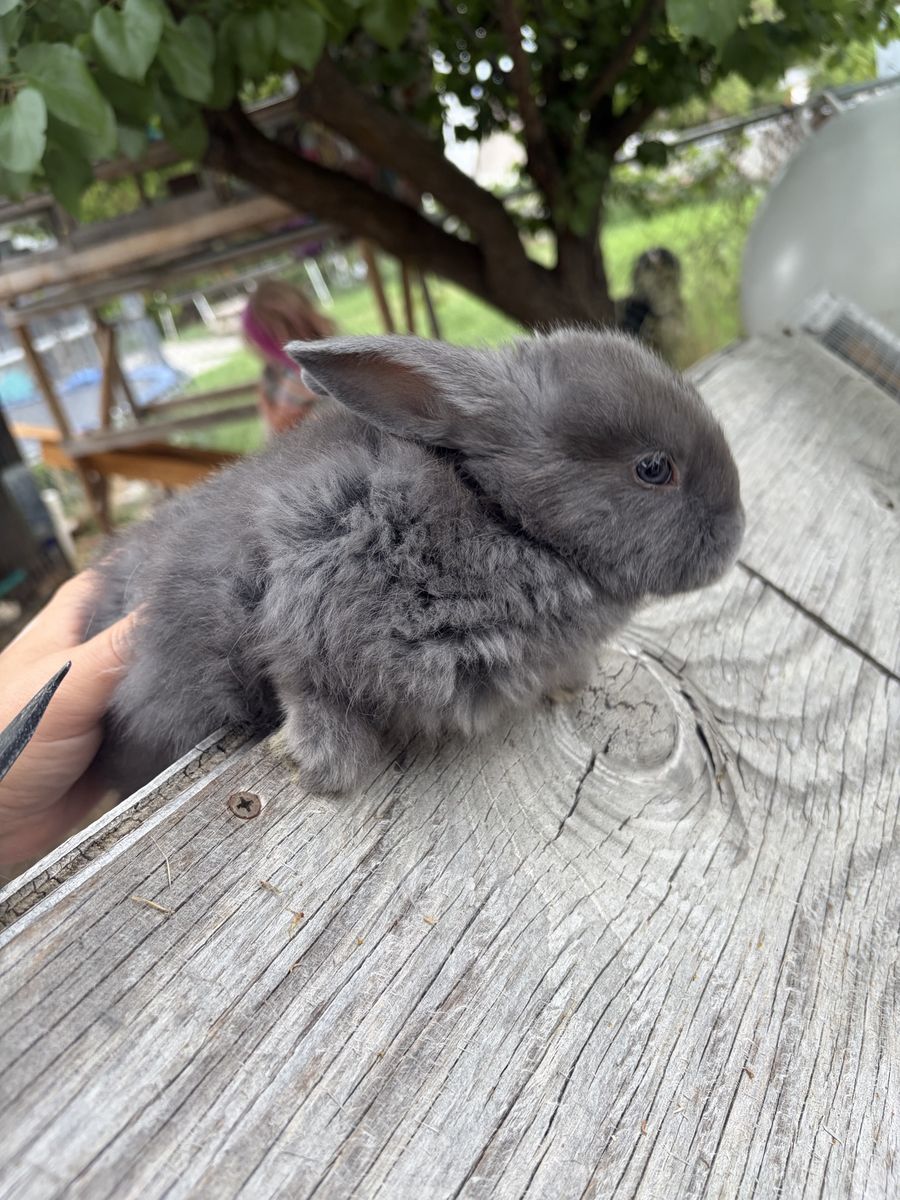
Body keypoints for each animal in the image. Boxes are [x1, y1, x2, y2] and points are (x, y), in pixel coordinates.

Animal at [84, 327, 744, 796]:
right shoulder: (301, 581)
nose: (735, 534)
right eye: (653, 468)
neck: (503, 515)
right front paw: (322, 763)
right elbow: (300, 680)